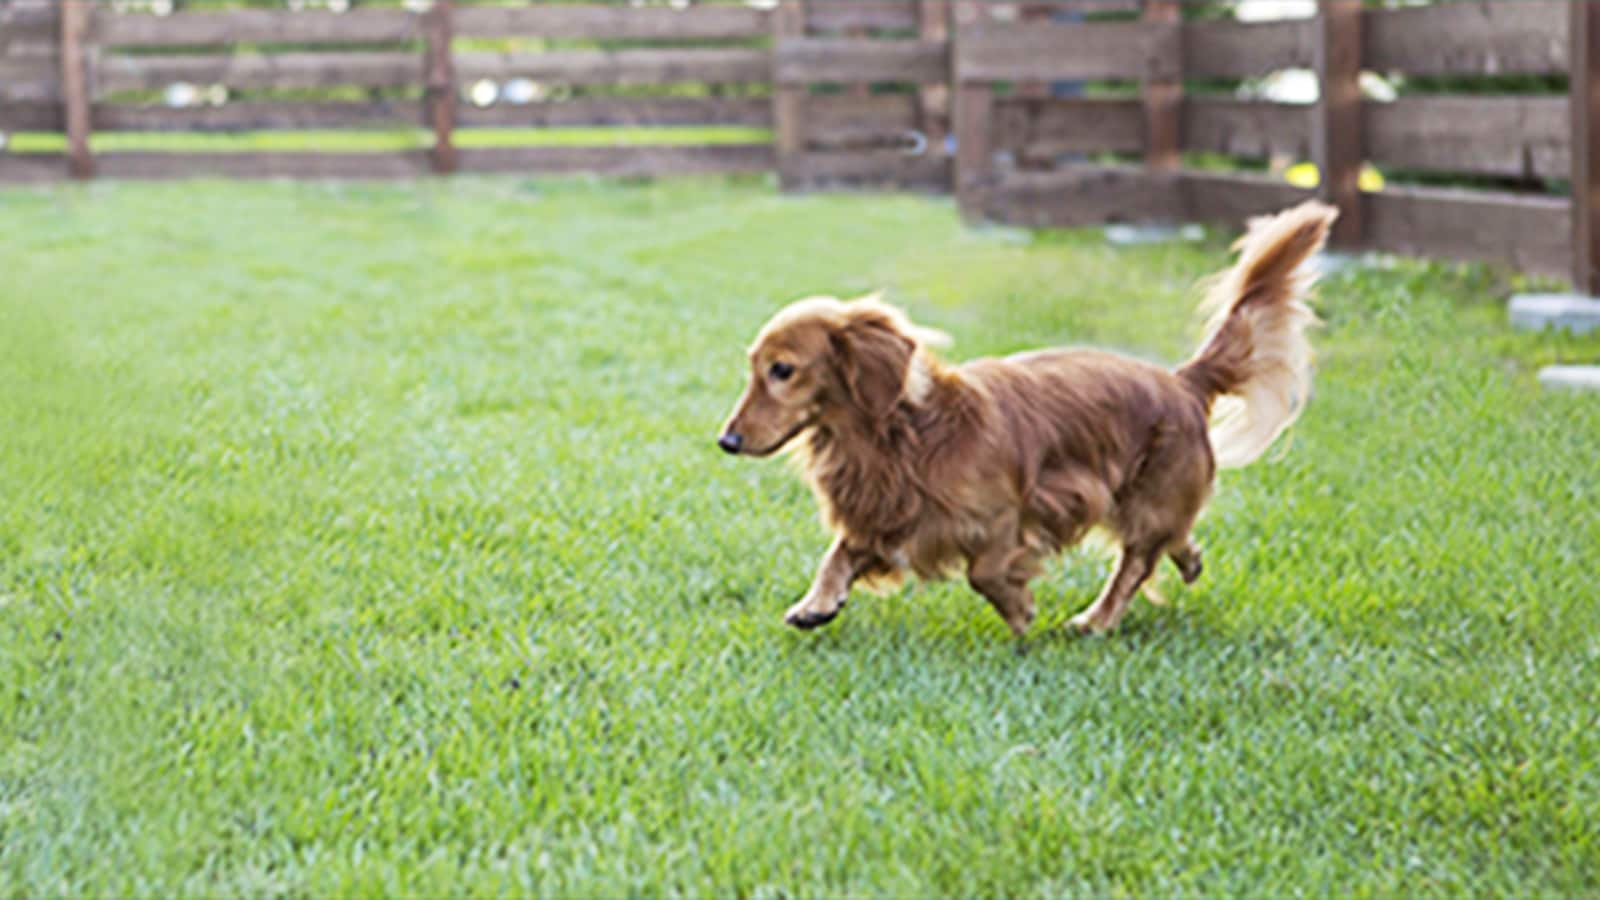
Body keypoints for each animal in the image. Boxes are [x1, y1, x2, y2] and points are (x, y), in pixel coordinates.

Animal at [720, 201, 1331, 637]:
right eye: (753, 367)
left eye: (782, 370)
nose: (727, 440)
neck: (902, 438)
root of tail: (1181, 381)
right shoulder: (888, 512)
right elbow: (840, 553)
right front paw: (816, 604)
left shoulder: (1009, 515)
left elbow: (984, 572)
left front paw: (1019, 612)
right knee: (1172, 541)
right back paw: (1188, 562)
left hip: (1143, 496)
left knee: (1136, 561)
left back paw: (1096, 620)